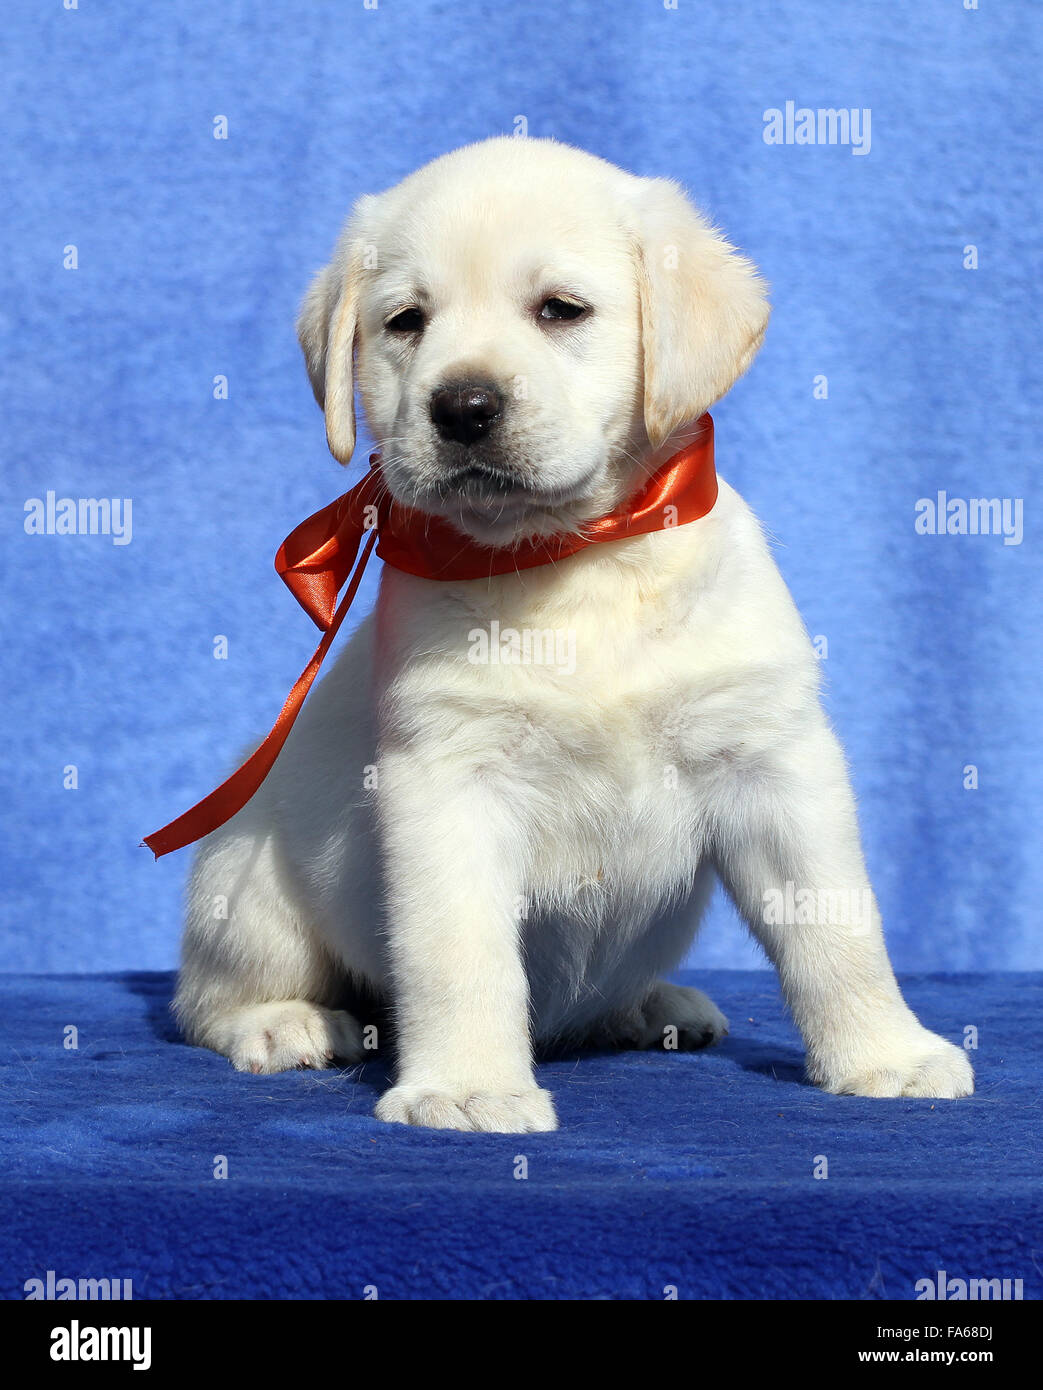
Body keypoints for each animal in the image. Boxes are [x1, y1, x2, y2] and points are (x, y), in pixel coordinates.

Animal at [175, 138, 979, 1128]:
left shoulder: (772, 761)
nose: (462, 407)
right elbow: (458, 955)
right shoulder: (449, 782)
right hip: (245, 880)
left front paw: (883, 1052)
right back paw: (283, 1023)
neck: (575, 559)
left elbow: (838, 928)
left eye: (560, 309)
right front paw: (467, 1085)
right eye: (405, 322)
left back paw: (654, 1007)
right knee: (206, 1000)